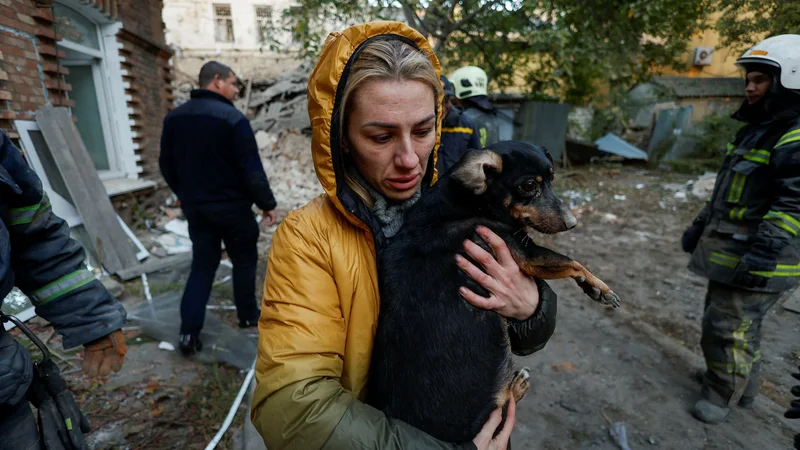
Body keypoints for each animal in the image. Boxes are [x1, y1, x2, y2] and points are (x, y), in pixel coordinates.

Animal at [366, 141, 620, 442]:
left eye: (552, 179)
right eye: (528, 186)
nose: (572, 223)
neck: (471, 201)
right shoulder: (526, 253)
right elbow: (570, 261)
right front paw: (598, 287)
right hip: (492, 411)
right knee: (506, 404)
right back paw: (518, 385)